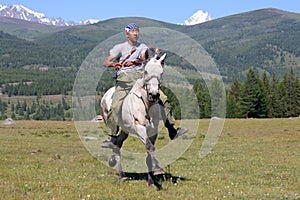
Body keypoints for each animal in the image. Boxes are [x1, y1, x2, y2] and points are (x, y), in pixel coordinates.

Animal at [101, 54, 166, 185]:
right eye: (146, 72)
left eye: (161, 72)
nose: (154, 94)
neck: (146, 105)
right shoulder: (140, 128)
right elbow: (150, 147)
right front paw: (158, 170)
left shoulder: (153, 131)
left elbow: (149, 150)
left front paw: (151, 181)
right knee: (114, 142)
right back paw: (121, 174)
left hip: (125, 130)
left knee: (118, 143)